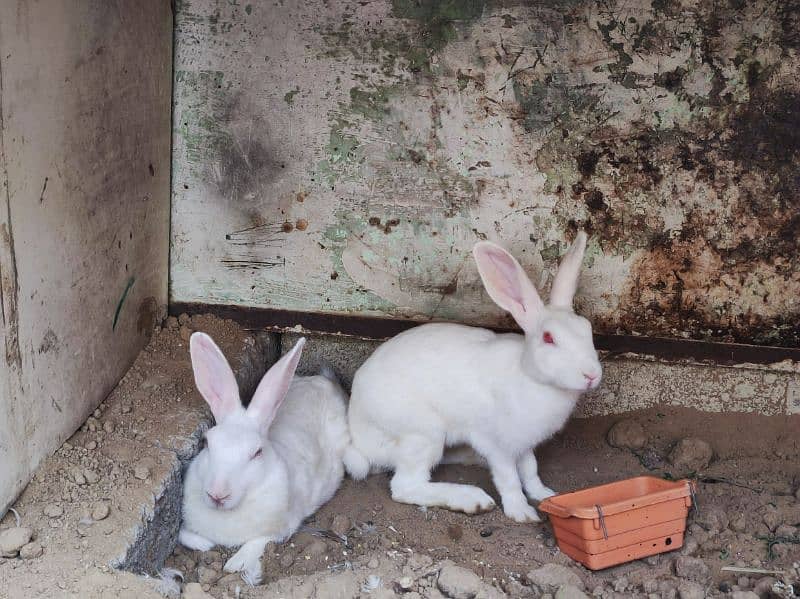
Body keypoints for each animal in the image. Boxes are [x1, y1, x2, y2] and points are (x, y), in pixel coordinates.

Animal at [180, 332, 348, 584]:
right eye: (207, 442)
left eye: (257, 452)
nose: (217, 495)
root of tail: (324, 382)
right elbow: (183, 535)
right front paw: (204, 544)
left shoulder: (280, 529)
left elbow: (256, 543)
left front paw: (235, 564)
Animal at [344, 232, 600, 524]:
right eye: (549, 338)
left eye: (588, 329)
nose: (592, 375)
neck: (528, 375)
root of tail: (359, 438)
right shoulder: (498, 445)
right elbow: (509, 478)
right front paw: (521, 512)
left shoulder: (524, 445)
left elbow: (530, 470)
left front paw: (545, 494)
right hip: (422, 435)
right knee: (405, 486)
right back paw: (471, 499)